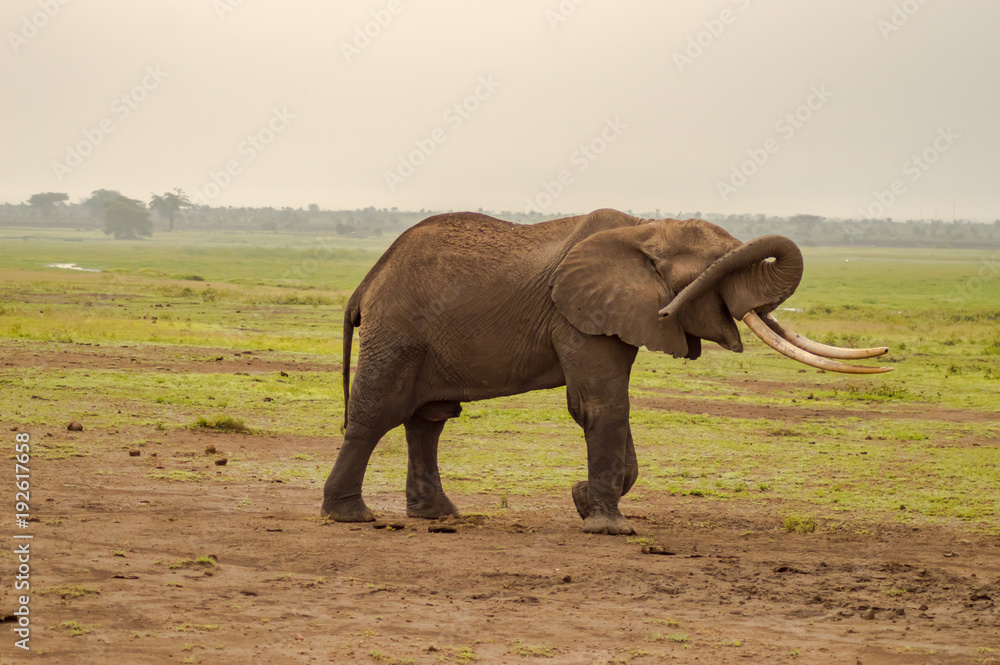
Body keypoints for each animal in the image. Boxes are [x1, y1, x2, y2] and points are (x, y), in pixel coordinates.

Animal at [322, 209, 890, 534]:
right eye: (712, 272)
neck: (643, 229)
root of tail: (367, 280)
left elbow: (609, 406)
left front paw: (583, 502)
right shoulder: (579, 314)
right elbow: (601, 405)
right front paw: (611, 528)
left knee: (428, 420)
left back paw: (439, 516)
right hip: (398, 331)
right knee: (377, 413)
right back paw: (351, 517)